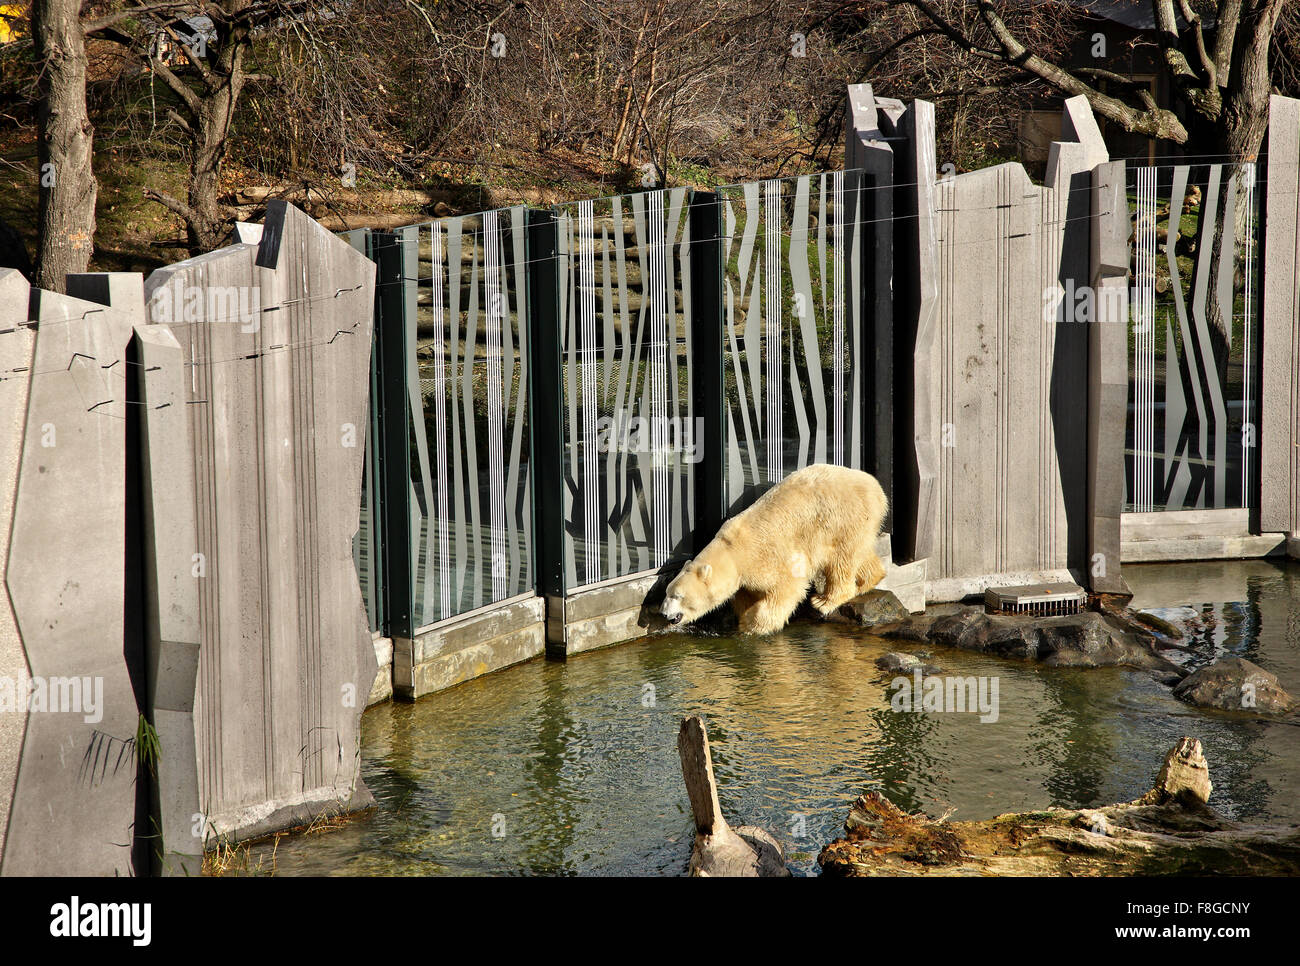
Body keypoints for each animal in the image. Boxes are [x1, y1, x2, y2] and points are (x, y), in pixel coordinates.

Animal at [660, 463, 888, 635]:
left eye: (677, 596)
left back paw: (825, 601)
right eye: (667, 592)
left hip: (841, 519)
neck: (733, 552)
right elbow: (745, 594)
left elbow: (787, 586)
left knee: (841, 560)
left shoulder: (766, 555)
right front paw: (744, 616)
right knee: (858, 553)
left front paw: (753, 625)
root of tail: (877, 489)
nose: (663, 614)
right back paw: (868, 581)